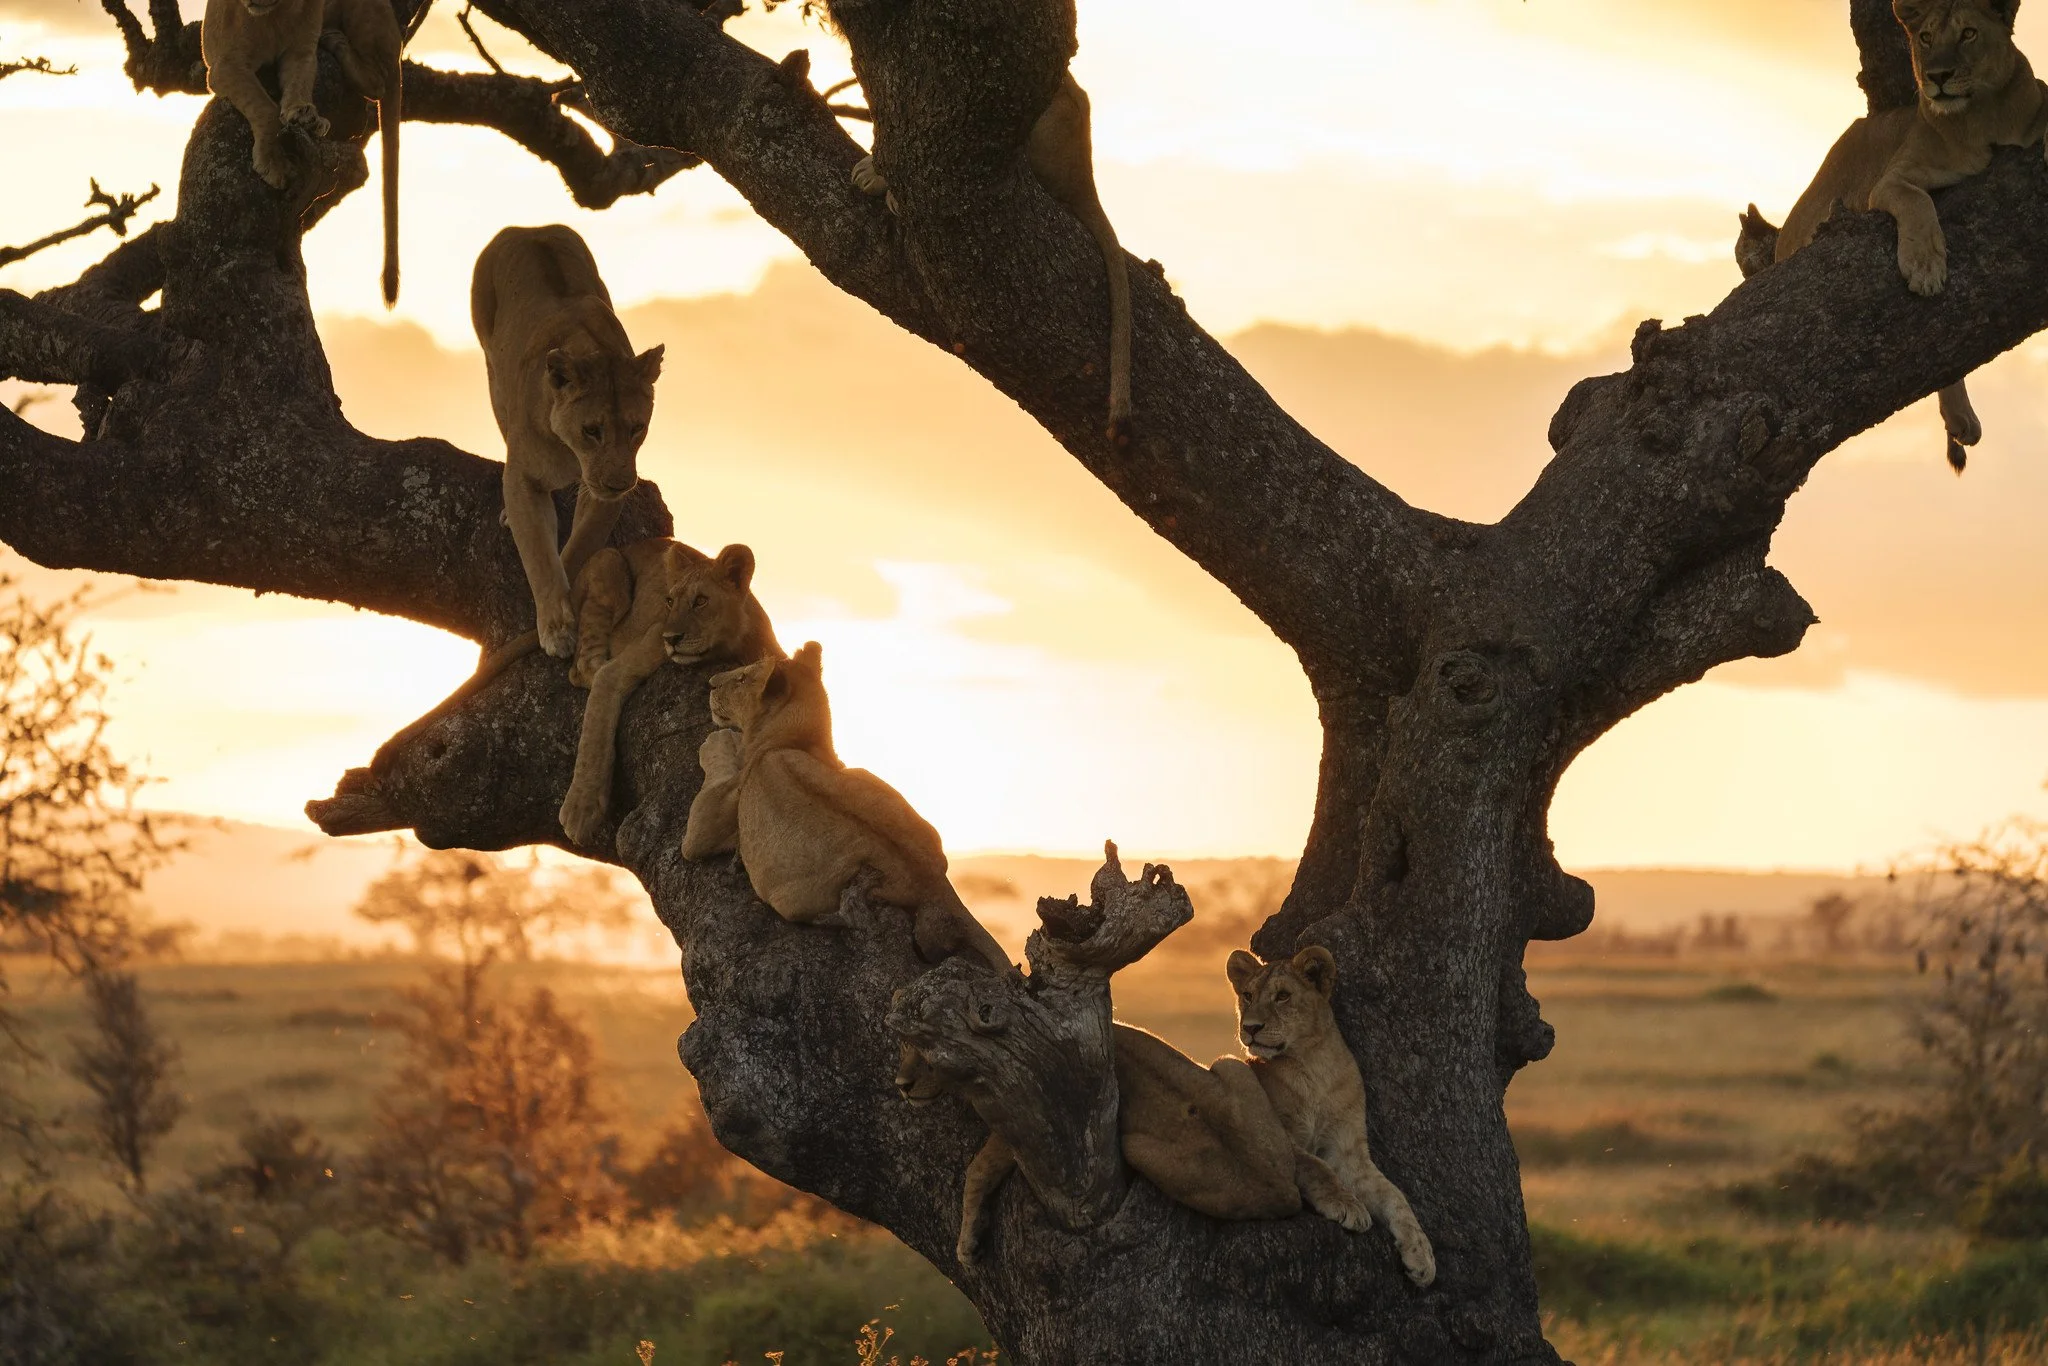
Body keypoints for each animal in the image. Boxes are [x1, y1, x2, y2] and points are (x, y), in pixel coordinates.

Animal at [472, 225, 665, 657]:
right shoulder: (523, 477)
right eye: (592, 430)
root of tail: (528, 228)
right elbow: (538, 555)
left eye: (636, 429)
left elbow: (579, 547)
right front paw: (556, 629)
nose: (621, 483)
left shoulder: (601, 490)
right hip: (492, 372)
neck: (571, 453)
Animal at [557, 539, 781, 848]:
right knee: (582, 669)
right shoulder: (630, 660)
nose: (671, 639)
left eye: (701, 601)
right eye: (670, 601)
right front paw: (581, 810)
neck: (733, 644)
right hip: (609, 562)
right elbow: (594, 731)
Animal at [681, 642, 1009, 971]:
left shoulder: (708, 826)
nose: (710, 682)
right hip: (867, 779)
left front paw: (717, 741)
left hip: (793, 898)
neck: (791, 737)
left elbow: (712, 786)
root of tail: (933, 882)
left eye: (742, 678)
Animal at [1228, 947, 1435, 1286]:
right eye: (1247, 995)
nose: (1250, 1028)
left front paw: (1422, 1256)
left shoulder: (1349, 1152)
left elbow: (1394, 1195)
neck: (1312, 1066)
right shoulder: (1274, 1132)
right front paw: (1348, 1206)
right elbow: (1316, 1166)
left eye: (1282, 996)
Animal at [1759, 0, 2047, 471]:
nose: (1938, 76)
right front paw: (1925, 268)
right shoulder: (1893, 179)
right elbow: (1918, 202)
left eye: (1969, 33)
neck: (1981, 118)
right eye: (1925, 38)